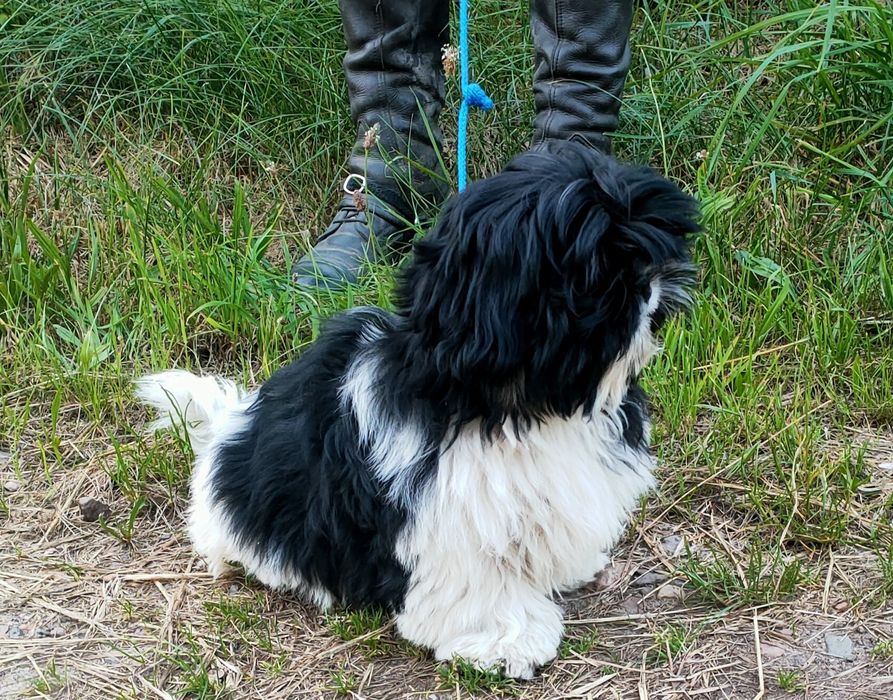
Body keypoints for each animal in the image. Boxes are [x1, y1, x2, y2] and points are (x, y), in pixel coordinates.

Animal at [136, 139, 700, 680]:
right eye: (599, 279)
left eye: (644, 261)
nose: (652, 291)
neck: (517, 406)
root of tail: (226, 430)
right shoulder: (450, 515)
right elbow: (479, 585)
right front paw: (505, 640)